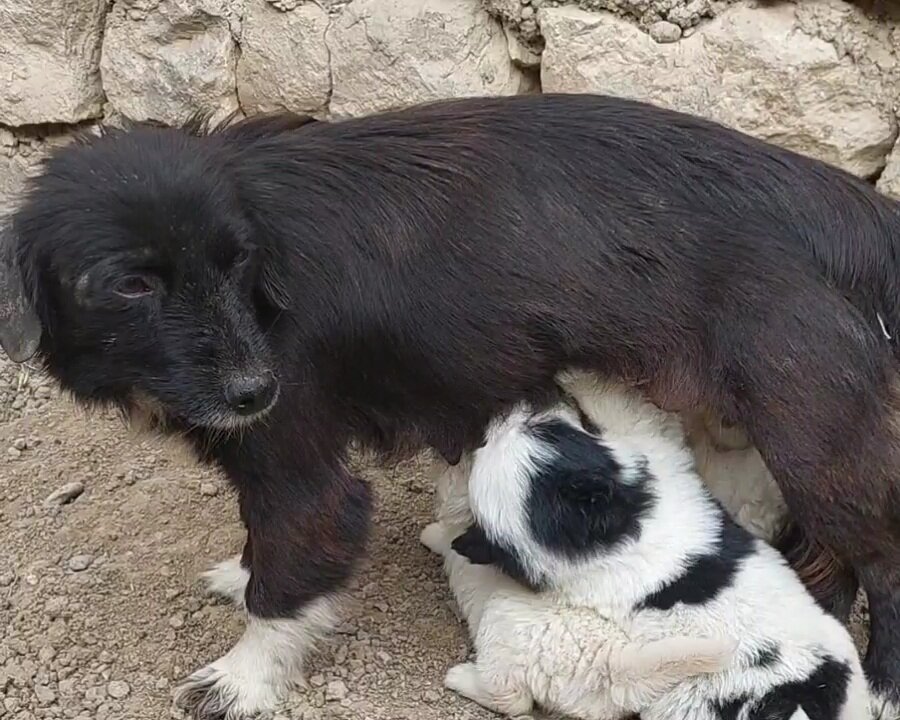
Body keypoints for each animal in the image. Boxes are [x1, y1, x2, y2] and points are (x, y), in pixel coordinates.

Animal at [420, 450, 740, 720]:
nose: (449, 456)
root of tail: (612, 661)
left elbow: (442, 536)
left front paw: (428, 533)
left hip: (502, 619)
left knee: (512, 699)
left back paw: (461, 678)